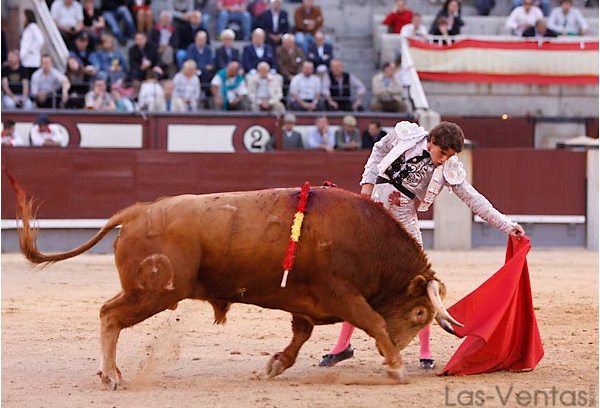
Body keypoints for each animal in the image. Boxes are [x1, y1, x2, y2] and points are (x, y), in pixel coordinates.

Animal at [10, 183, 460, 390]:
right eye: (420, 312)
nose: (399, 352)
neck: (366, 239)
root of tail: (136, 212)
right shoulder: (343, 294)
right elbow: (375, 322)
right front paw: (396, 368)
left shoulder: (306, 304)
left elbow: (300, 336)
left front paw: (274, 365)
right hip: (155, 292)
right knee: (109, 315)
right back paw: (111, 377)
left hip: (151, 292)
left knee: (111, 315)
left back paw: (114, 372)